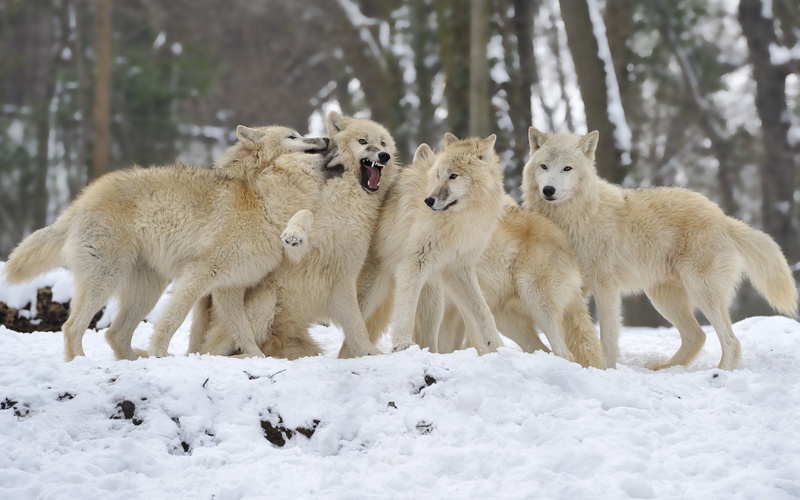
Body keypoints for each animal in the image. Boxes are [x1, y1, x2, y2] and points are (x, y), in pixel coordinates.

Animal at [3, 126, 329, 361]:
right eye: (293, 136)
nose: (326, 139)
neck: (262, 204)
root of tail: (80, 200)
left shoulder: (229, 288)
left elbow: (244, 331)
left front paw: (257, 359)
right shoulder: (199, 275)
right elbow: (174, 320)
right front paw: (161, 352)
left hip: (148, 288)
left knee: (114, 334)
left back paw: (135, 360)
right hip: (107, 280)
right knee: (72, 327)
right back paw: (83, 363)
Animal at [190, 112, 399, 359]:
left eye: (383, 143)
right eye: (363, 141)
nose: (384, 156)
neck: (347, 199)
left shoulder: (344, 274)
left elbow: (357, 326)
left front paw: (369, 353)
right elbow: (305, 214)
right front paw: (294, 233)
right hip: (264, 302)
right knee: (217, 351)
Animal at [352, 134, 506, 356]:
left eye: (453, 176)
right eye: (438, 175)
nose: (428, 201)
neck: (460, 220)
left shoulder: (459, 269)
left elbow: (483, 311)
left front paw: (498, 347)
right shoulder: (415, 262)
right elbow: (405, 308)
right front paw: (402, 344)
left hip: (434, 300)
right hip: (368, 295)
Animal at [522, 127, 798, 370]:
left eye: (567, 168)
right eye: (544, 167)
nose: (549, 190)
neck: (574, 218)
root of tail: (723, 217)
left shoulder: (605, 286)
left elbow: (607, 337)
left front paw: (606, 369)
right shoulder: (574, 288)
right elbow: (576, 334)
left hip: (701, 292)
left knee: (731, 341)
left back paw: (720, 373)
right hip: (663, 299)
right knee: (697, 336)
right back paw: (666, 368)